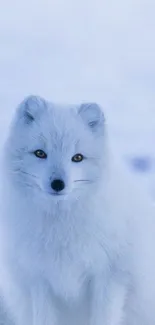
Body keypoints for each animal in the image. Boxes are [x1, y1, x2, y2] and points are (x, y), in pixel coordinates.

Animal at [0, 95, 155, 322]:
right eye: (40, 153)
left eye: (78, 157)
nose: (58, 184)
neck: (60, 228)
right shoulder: (38, 280)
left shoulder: (109, 277)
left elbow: (103, 318)